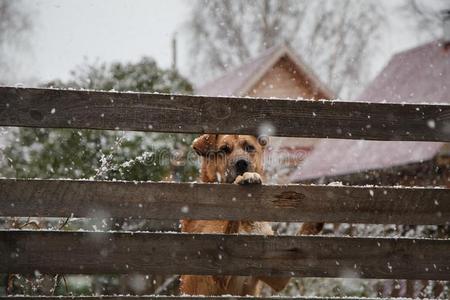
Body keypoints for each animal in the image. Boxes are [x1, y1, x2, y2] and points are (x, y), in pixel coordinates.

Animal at [179, 134, 324, 296]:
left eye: (249, 147)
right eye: (224, 149)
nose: (242, 163)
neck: (246, 222)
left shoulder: (278, 275)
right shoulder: (216, 268)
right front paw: (244, 178)